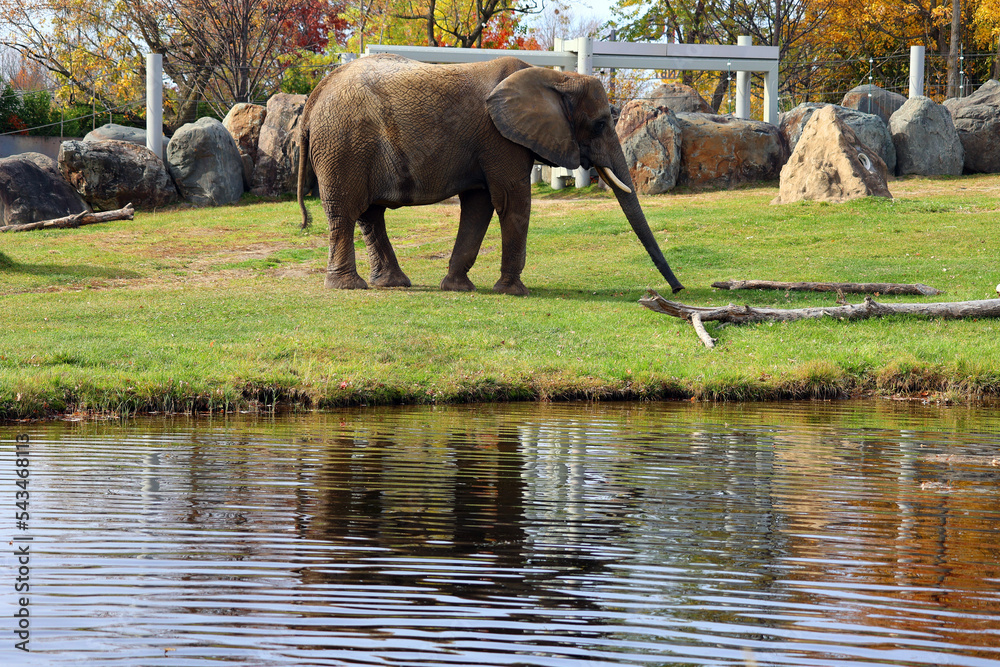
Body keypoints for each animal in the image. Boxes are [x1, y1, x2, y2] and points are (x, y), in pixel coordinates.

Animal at [297, 54, 684, 295]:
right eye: (601, 123)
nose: (678, 288)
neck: (556, 77)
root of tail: (315, 95)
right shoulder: (499, 138)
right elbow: (513, 202)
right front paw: (514, 292)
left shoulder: (492, 142)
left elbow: (479, 206)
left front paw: (458, 288)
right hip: (343, 144)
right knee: (345, 211)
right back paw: (349, 286)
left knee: (369, 214)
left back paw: (392, 284)